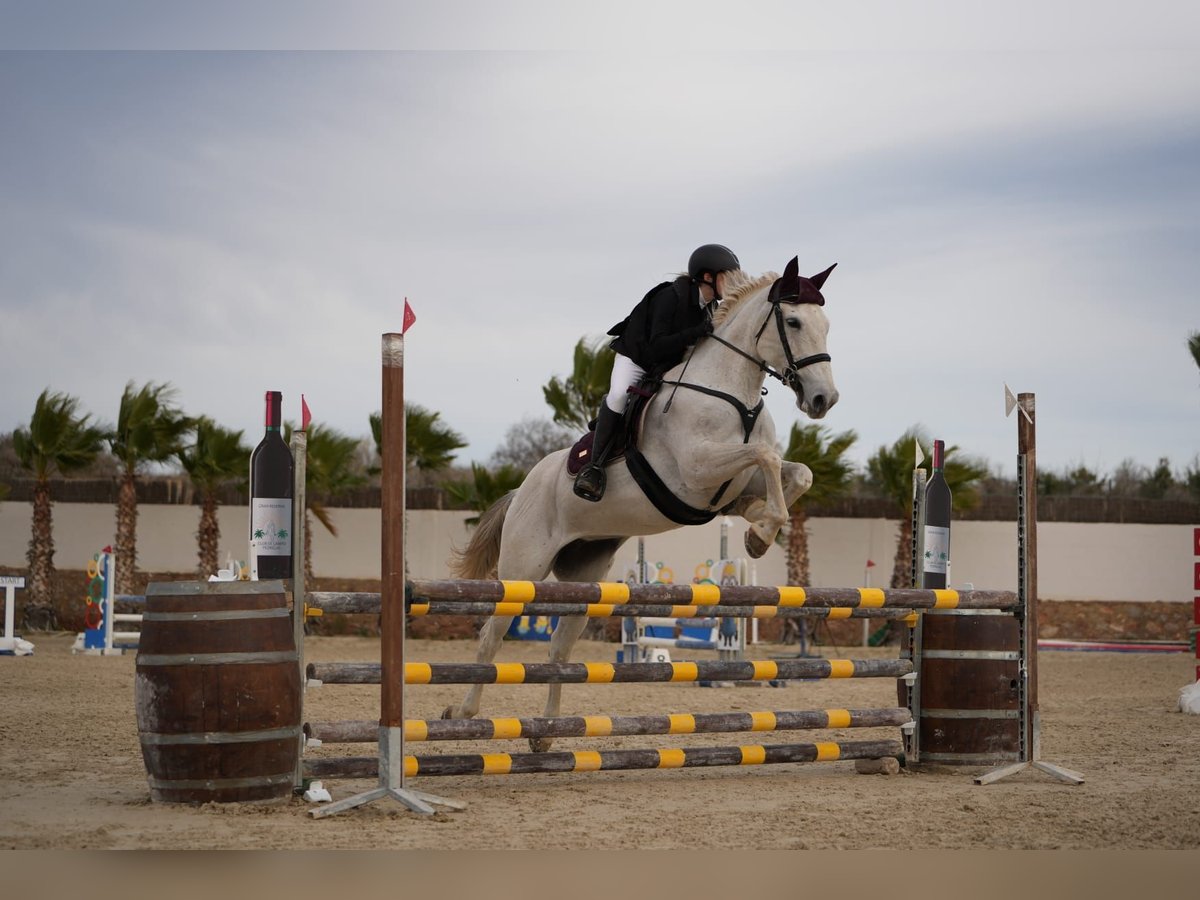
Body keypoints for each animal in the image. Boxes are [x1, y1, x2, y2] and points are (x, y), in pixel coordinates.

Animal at [446, 256, 840, 748]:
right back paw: (464, 712)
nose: (824, 399)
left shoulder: (732, 481)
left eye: (826, 325)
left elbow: (796, 473)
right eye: (793, 321)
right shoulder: (697, 471)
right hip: (523, 570)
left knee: (559, 647)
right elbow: (766, 456)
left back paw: (546, 732)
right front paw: (762, 531)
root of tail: (522, 490)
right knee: (491, 634)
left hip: (583, 579)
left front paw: (757, 530)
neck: (732, 392)